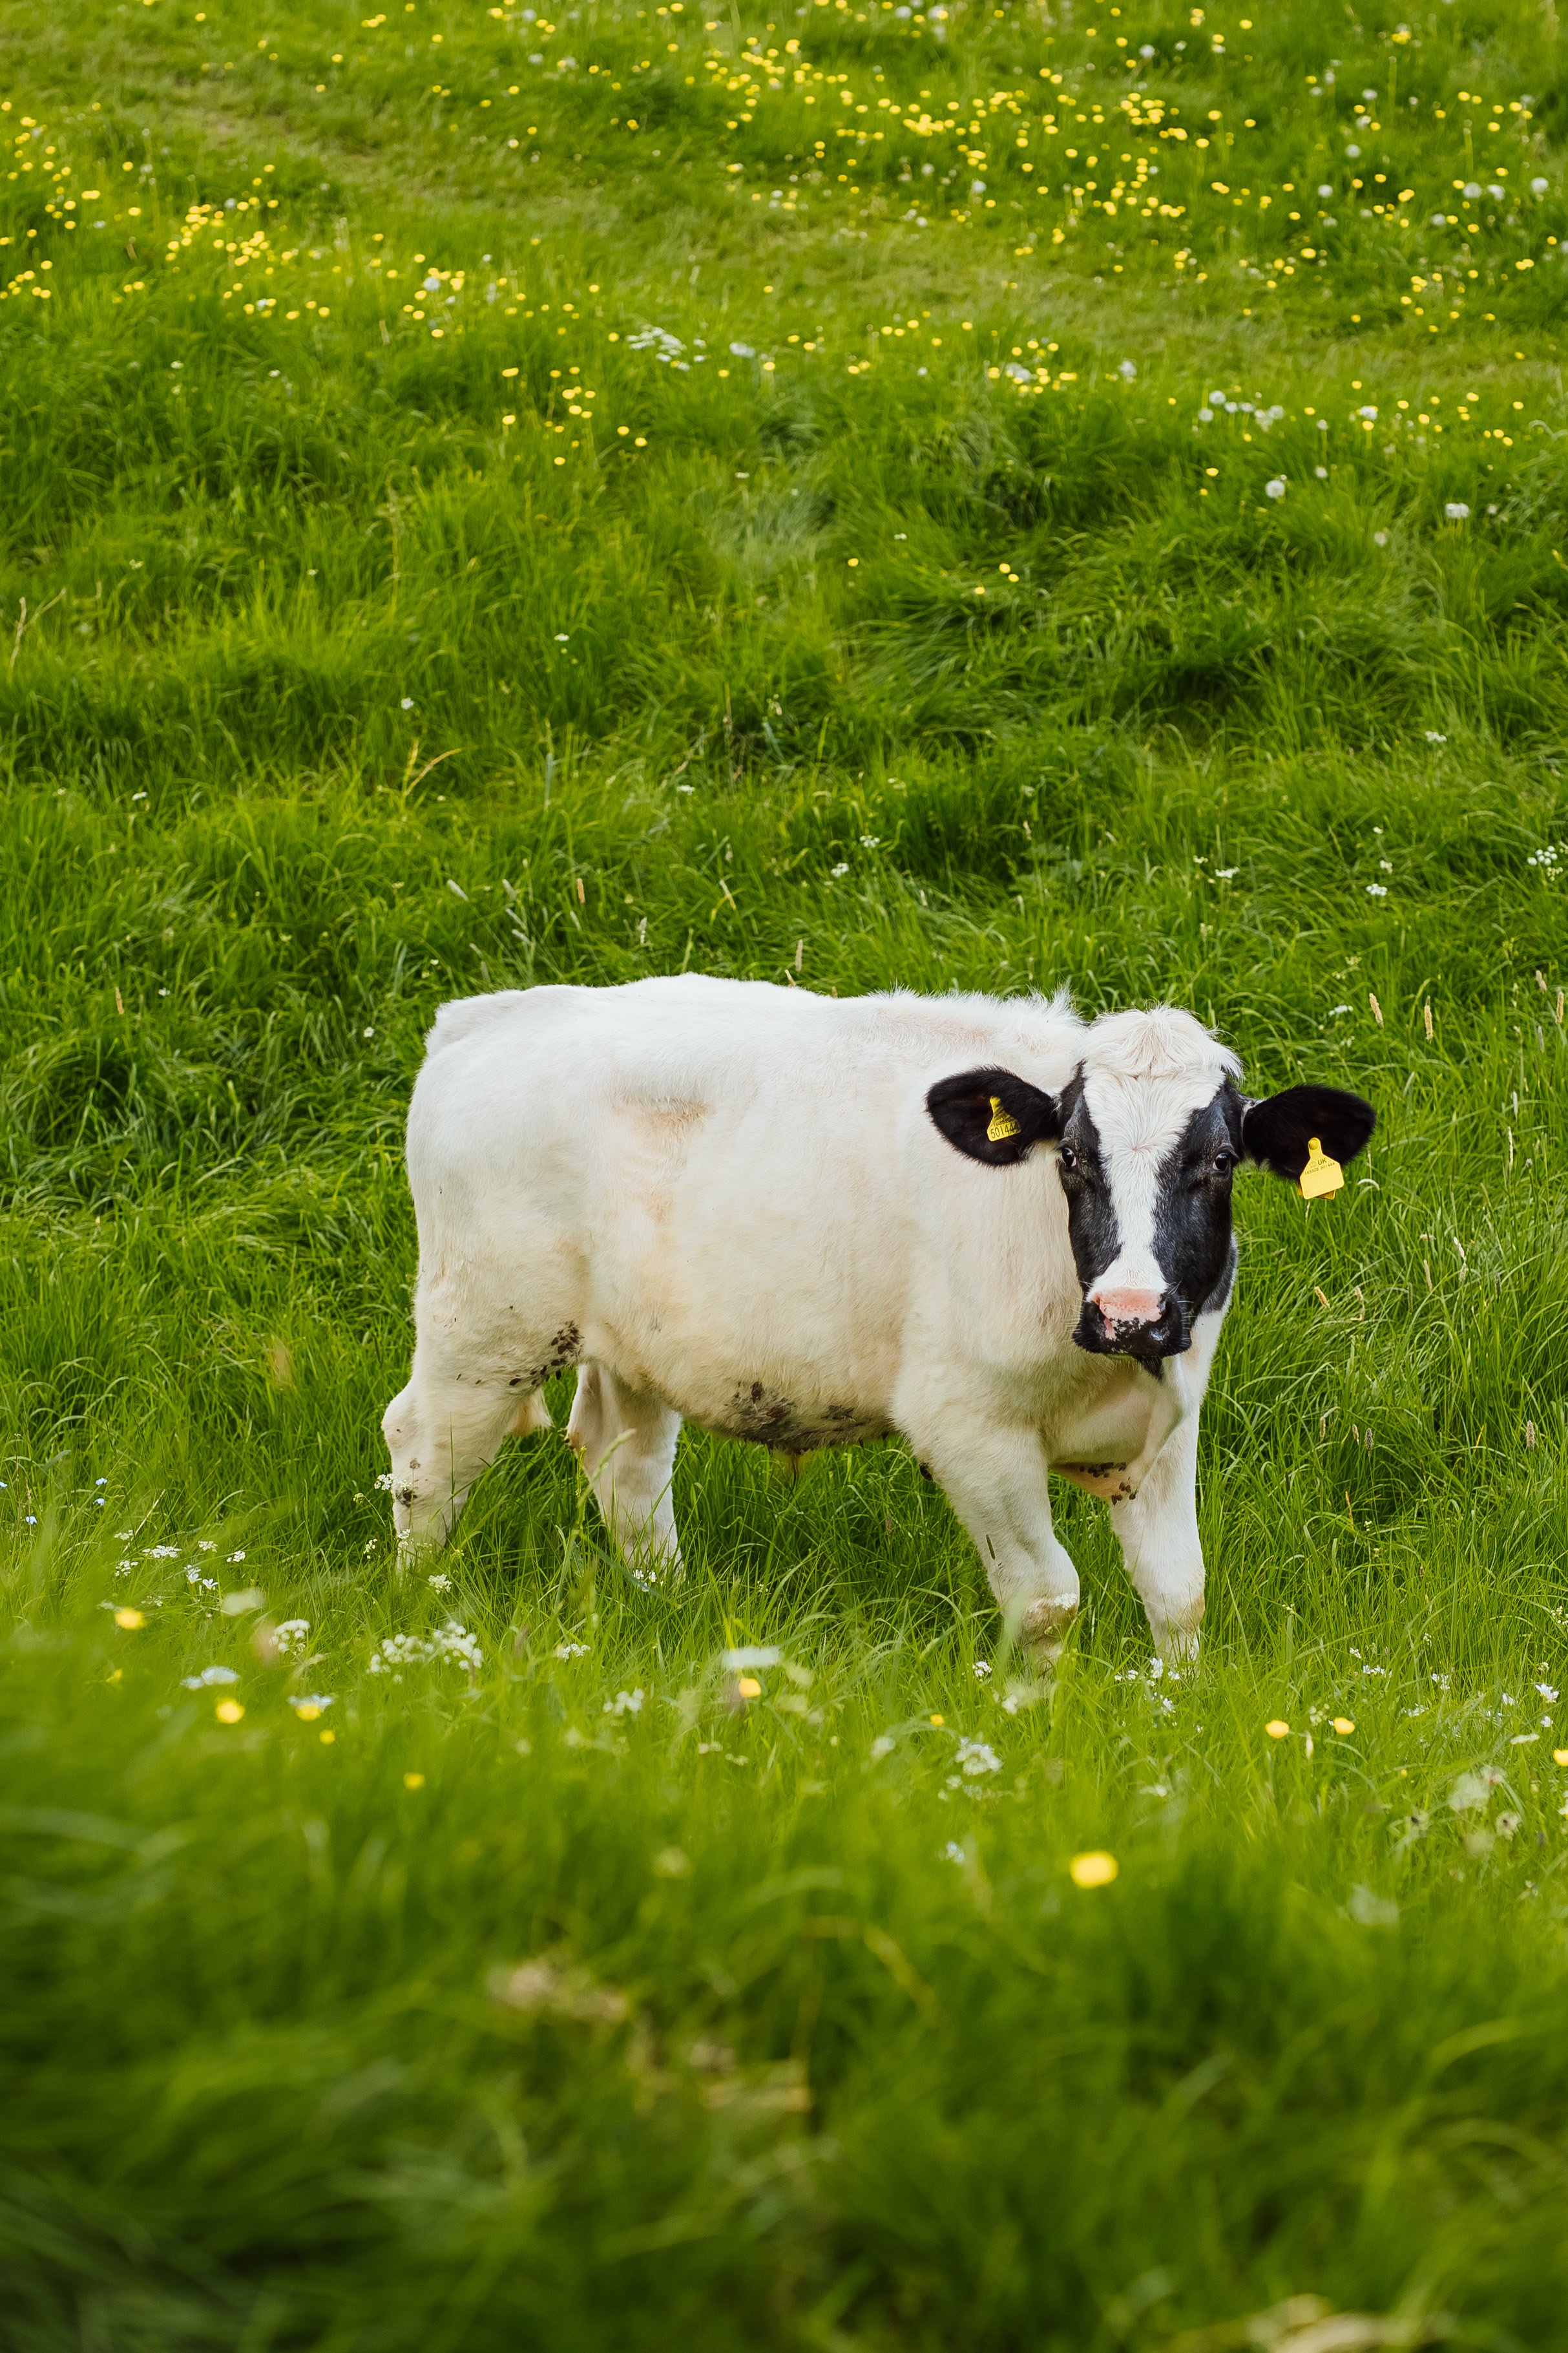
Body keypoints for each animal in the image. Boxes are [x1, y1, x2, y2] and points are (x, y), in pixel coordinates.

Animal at [381, 983, 1372, 1665]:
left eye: (1218, 1160)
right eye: (1073, 1157)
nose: (1129, 1313)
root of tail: (489, 1016)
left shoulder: (1172, 1414)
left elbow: (1178, 1594)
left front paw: (1174, 1713)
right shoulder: (965, 1427)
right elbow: (1045, 1598)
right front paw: (1044, 1724)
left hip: (633, 1342)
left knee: (623, 1462)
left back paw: (671, 1607)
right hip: (485, 1326)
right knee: (426, 1450)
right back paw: (414, 1613)